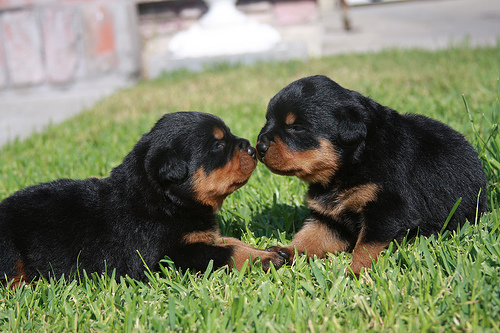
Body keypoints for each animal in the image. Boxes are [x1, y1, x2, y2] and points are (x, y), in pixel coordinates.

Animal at [0, 110, 284, 286]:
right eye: (217, 145)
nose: (252, 149)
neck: (164, 201)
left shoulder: (200, 235)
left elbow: (230, 241)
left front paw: (269, 250)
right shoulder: (167, 255)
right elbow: (227, 252)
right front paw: (265, 259)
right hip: (8, 248)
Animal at [258, 75, 488, 274]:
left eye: (296, 127)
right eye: (267, 120)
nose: (259, 146)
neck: (350, 164)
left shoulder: (388, 210)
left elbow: (366, 246)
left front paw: (355, 272)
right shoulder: (330, 218)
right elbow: (310, 236)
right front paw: (285, 251)